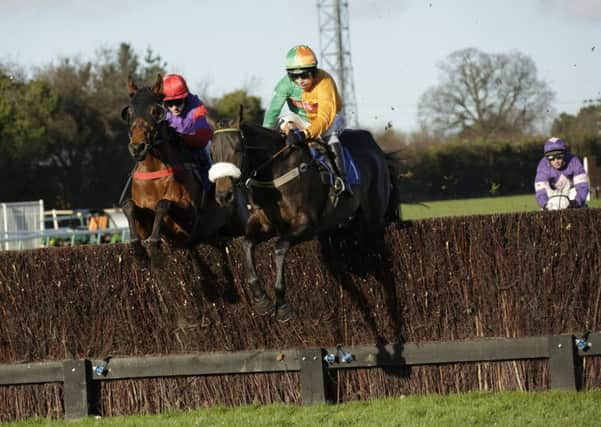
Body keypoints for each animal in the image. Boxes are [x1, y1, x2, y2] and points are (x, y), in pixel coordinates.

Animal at [120, 75, 245, 266]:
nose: (137, 147)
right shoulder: (142, 217)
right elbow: (129, 206)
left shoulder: (190, 218)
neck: (154, 174)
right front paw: (136, 246)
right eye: (130, 113)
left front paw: (154, 242)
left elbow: (163, 203)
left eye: (156, 111)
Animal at [207, 110, 398, 320]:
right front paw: (260, 299)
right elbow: (246, 243)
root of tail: (376, 148)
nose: (223, 195)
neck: (275, 172)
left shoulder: (306, 223)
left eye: (237, 150)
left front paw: (282, 305)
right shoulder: (265, 223)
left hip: (374, 216)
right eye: (212, 153)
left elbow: (279, 247)